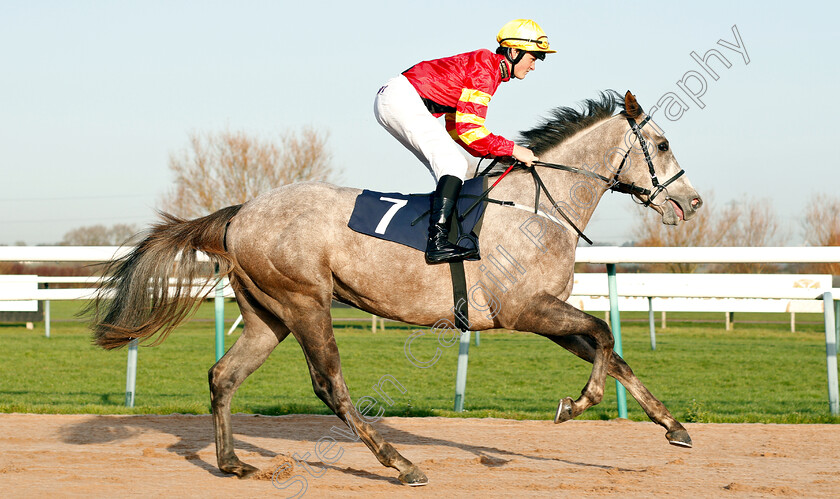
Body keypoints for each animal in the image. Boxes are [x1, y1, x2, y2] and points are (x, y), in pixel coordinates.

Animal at [87, 91, 704, 488]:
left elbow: (612, 351)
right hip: (305, 303)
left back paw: (234, 463)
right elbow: (604, 333)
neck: (537, 209)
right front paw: (575, 404)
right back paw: (400, 463)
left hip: (268, 315)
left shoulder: (543, 314)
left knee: (224, 376)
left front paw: (674, 427)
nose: (692, 200)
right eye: (663, 143)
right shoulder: (526, 310)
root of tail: (241, 212)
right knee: (330, 387)